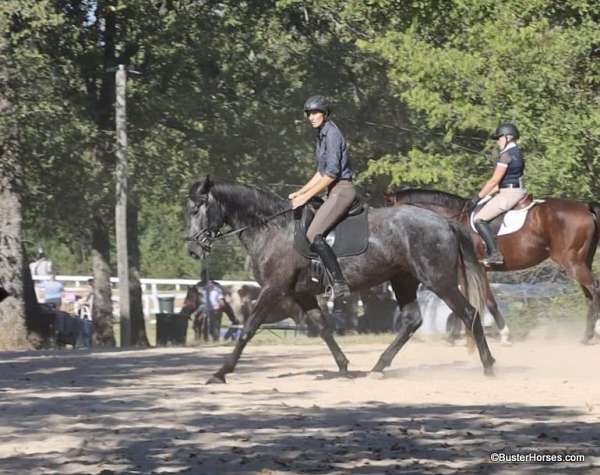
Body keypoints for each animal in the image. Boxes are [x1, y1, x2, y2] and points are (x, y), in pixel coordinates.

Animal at [185, 177, 494, 384]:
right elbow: (322, 327)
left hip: (439, 281)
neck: (273, 229)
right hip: (403, 280)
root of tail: (444, 222)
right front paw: (344, 367)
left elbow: (248, 328)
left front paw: (221, 372)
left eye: (197, 209)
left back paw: (489, 366)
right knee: (412, 320)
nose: (192, 250)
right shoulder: (302, 294)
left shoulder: (274, 289)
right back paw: (378, 367)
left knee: (469, 314)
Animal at [384, 189, 600, 342]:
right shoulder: (467, 271)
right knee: (589, 295)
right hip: (581, 261)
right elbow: (465, 300)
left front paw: (503, 334)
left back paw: (591, 333)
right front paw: (457, 333)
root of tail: (585, 207)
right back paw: (589, 332)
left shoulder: (478, 269)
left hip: (572, 263)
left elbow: (486, 302)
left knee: (594, 289)